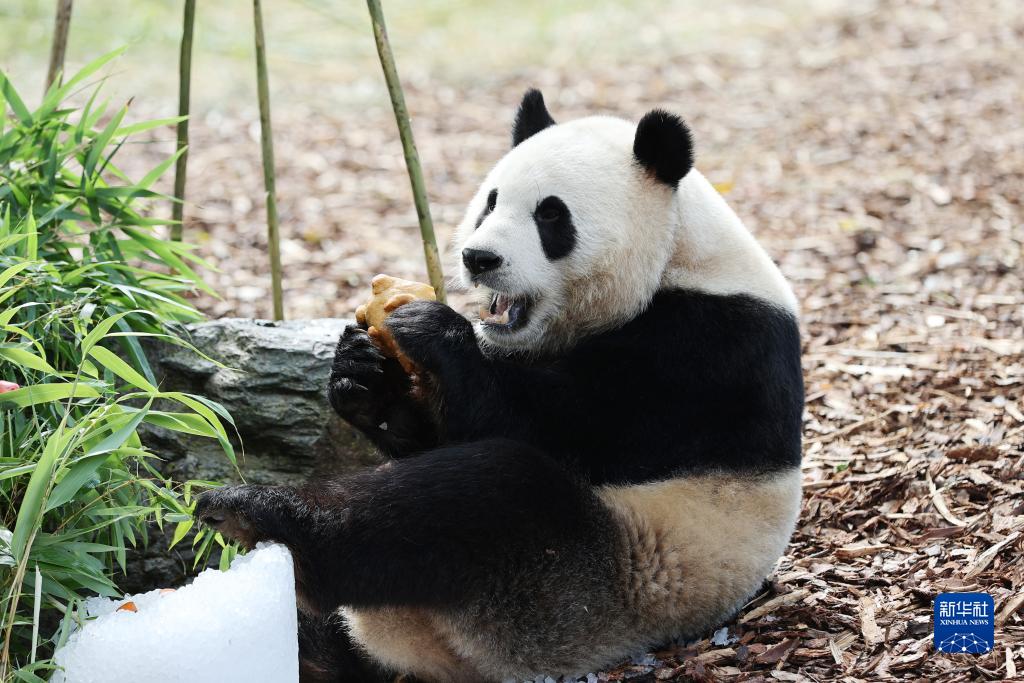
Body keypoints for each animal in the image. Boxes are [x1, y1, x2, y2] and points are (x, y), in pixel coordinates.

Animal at [197, 90, 806, 683]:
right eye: (490, 201)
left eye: (551, 215)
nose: (478, 257)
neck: (677, 255)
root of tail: (424, 653)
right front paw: (363, 374)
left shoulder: (707, 352)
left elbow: (553, 426)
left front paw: (431, 329)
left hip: (582, 585)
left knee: (480, 498)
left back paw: (258, 514)